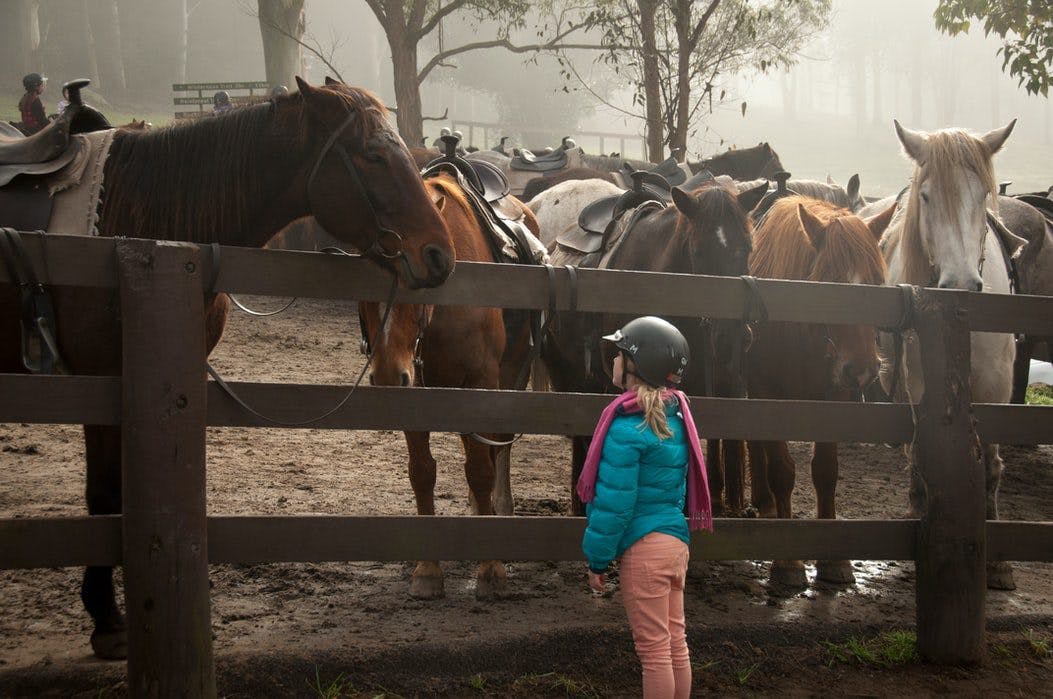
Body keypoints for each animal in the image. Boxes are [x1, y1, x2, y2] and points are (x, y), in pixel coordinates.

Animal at [0, 77, 452, 661]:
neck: (139, 221)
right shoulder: (100, 382)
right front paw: (106, 619)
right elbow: (103, 496)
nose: (440, 255)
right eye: (373, 155)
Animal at [362, 170, 543, 602]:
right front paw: (428, 570)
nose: (388, 376)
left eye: (420, 277)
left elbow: (480, 470)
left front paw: (491, 569)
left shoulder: (480, 386)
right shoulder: (417, 393)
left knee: (499, 450)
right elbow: (422, 472)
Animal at [745, 193, 892, 585]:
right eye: (828, 282)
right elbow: (782, 471)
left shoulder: (835, 398)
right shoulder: (768, 396)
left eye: (878, 281)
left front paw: (834, 561)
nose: (862, 369)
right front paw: (788, 562)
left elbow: (826, 470)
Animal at [880, 117, 1019, 585]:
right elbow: (924, 450)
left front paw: (997, 561)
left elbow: (990, 460)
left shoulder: (997, 386)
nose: (960, 283)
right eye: (926, 196)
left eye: (981, 195)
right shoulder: (921, 383)